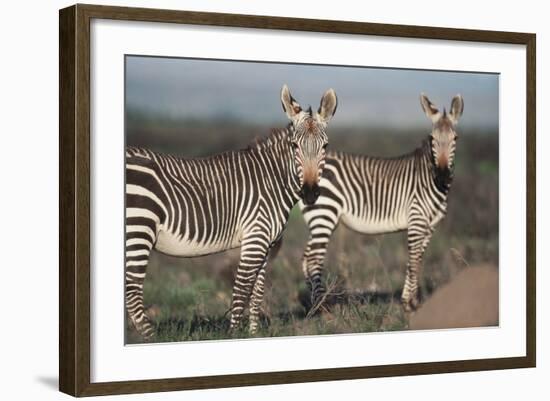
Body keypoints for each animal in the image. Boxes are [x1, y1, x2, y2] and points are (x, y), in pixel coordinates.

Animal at [126, 84, 338, 338]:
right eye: (294, 146)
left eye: (325, 146)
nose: (310, 193)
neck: (271, 182)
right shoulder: (255, 239)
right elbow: (241, 290)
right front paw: (234, 334)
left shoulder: (266, 243)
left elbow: (257, 293)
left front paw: (253, 334)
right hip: (139, 229)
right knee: (132, 292)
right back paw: (151, 337)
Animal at [302, 94, 466, 312]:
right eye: (432, 139)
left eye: (455, 139)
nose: (442, 177)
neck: (428, 177)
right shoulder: (417, 220)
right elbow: (414, 261)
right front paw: (410, 304)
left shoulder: (429, 226)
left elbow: (417, 260)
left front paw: (409, 301)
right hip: (323, 214)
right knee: (313, 259)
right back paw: (323, 308)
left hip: (320, 218)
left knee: (306, 258)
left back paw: (312, 305)